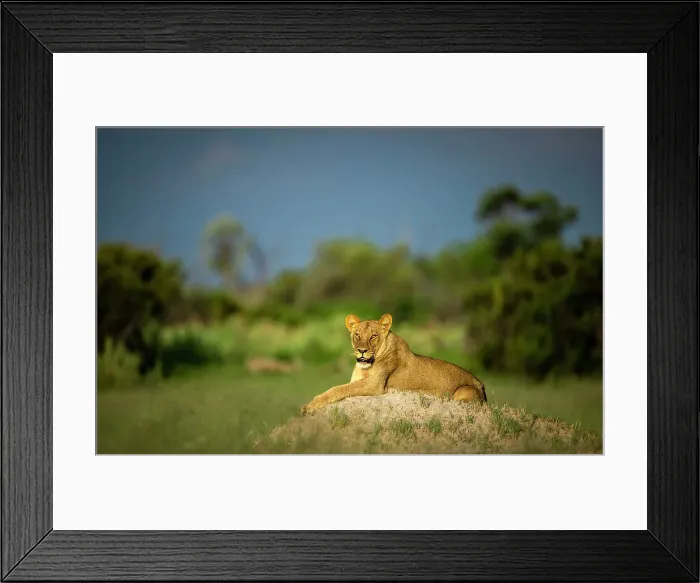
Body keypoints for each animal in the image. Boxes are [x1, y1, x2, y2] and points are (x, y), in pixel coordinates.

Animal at [300, 313, 487, 414]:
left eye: (373, 336)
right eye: (357, 334)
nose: (362, 350)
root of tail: (482, 385)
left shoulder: (374, 385)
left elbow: (338, 389)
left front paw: (311, 405)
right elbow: (342, 387)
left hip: (464, 391)